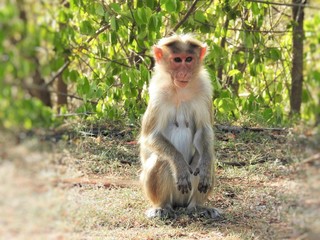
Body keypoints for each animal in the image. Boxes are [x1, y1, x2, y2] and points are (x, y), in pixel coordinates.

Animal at [140, 33, 220, 219]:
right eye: (177, 60)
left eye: (188, 59)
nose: (184, 72)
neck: (180, 89)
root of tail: (180, 204)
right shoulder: (158, 95)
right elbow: (150, 136)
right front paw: (180, 165)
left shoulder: (204, 91)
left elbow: (204, 130)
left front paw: (205, 166)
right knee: (161, 159)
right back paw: (162, 207)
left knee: (202, 160)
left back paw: (198, 206)